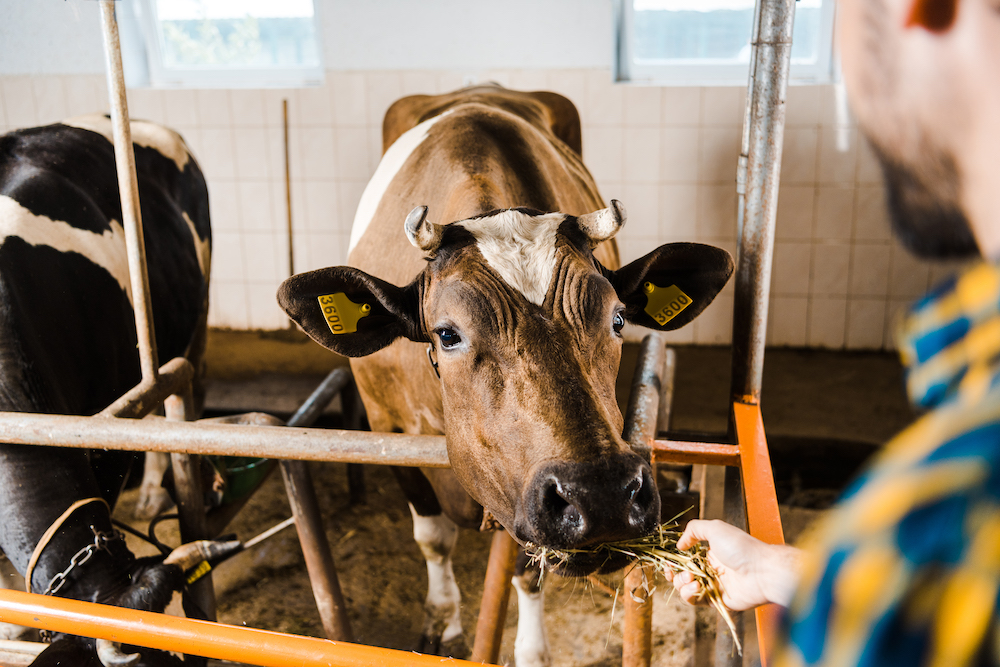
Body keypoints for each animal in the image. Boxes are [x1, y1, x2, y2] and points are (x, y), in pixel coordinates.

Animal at [278, 86, 732, 664]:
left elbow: (527, 568)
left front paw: (531, 649)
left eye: (618, 319)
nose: (601, 494)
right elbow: (432, 537)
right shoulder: (385, 427)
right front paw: (442, 619)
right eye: (447, 334)